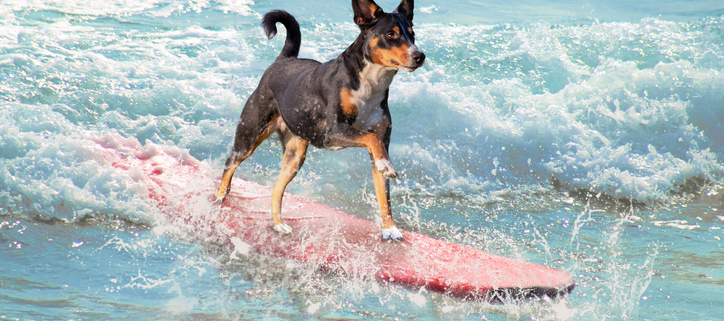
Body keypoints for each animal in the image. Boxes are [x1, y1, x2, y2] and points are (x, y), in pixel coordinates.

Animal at [212, 0, 424, 240]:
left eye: (412, 34)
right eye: (391, 34)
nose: (420, 56)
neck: (371, 83)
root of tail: (283, 59)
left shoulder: (379, 141)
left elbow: (384, 194)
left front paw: (389, 228)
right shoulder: (334, 132)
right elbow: (371, 139)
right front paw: (386, 166)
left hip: (295, 157)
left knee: (277, 188)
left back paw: (278, 224)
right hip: (249, 136)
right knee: (230, 163)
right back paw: (219, 197)